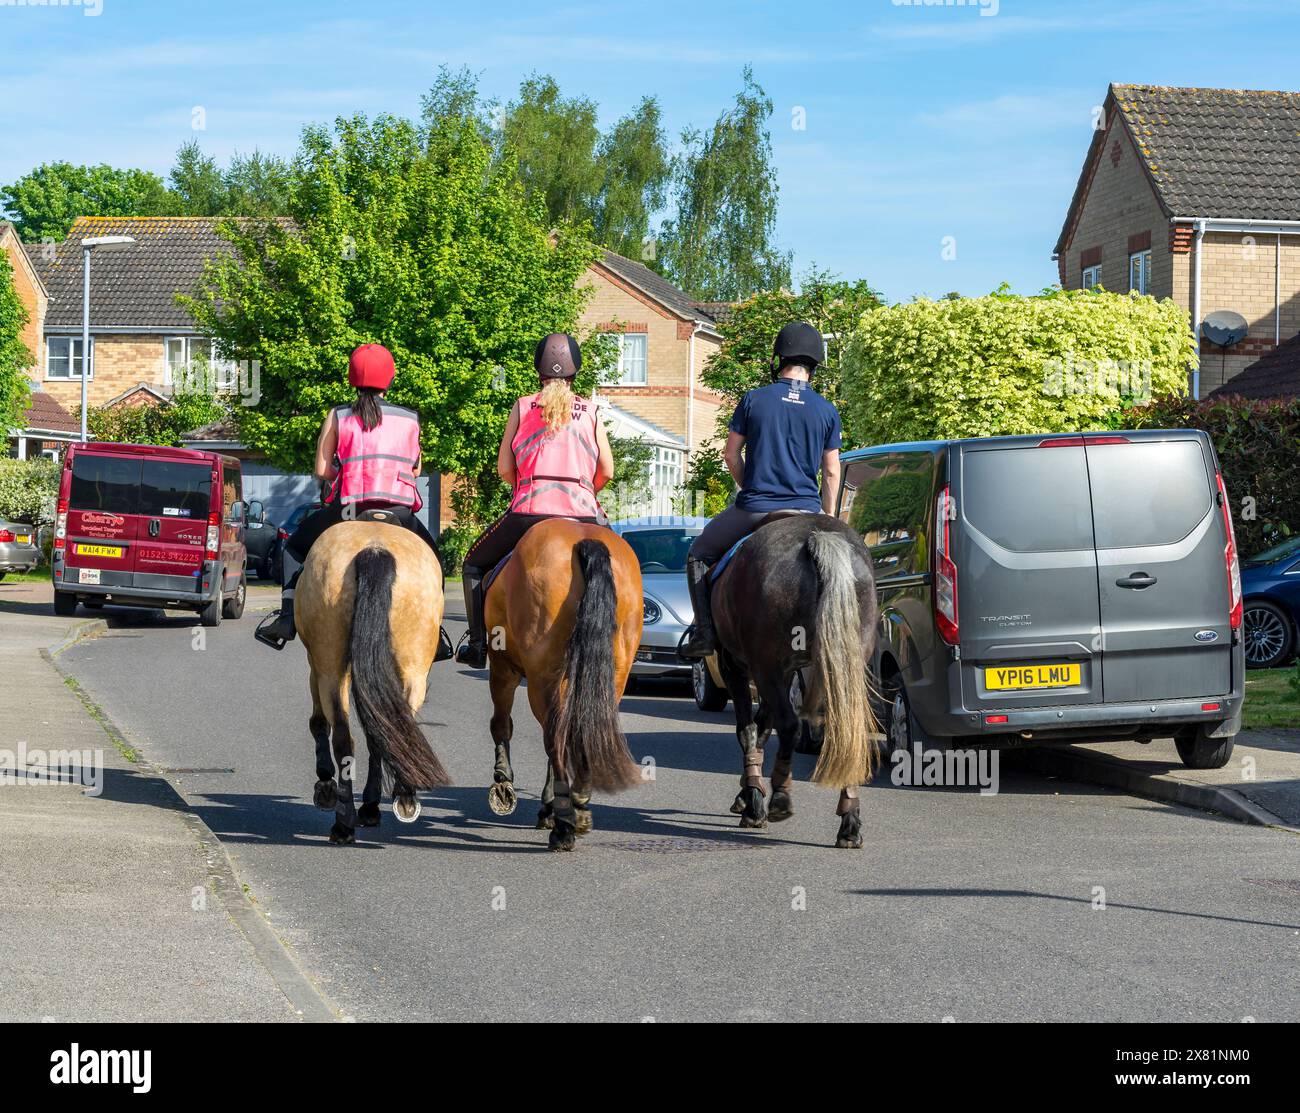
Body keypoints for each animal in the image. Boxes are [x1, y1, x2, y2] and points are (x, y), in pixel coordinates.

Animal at [295, 522, 452, 842]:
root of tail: (375, 550)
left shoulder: (315, 664)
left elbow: (318, 723)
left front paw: (325, 785)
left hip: (329, 667)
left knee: (342, 736)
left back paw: (344, 821)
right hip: (413, 670)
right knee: (388, 732)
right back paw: (395, 801)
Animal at [478, 517, 639, 847]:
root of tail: (585, 541)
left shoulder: (503, 668)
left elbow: (501, 724)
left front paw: (503, 781)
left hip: (541, 678)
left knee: (554, 738)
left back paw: (564, 827)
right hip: (614, 675)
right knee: (583, 730)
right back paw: (578, 808)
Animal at [707, 517, 878, 847]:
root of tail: (817, 537)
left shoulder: (737, 666)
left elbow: (749, 730)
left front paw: (753, 801)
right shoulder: (782, 674)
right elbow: (762, 728)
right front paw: (749, 793)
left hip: (764, 667)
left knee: (789, 725)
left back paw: (780, 799)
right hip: (846, 663)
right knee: (847, 730)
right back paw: (849, 823)